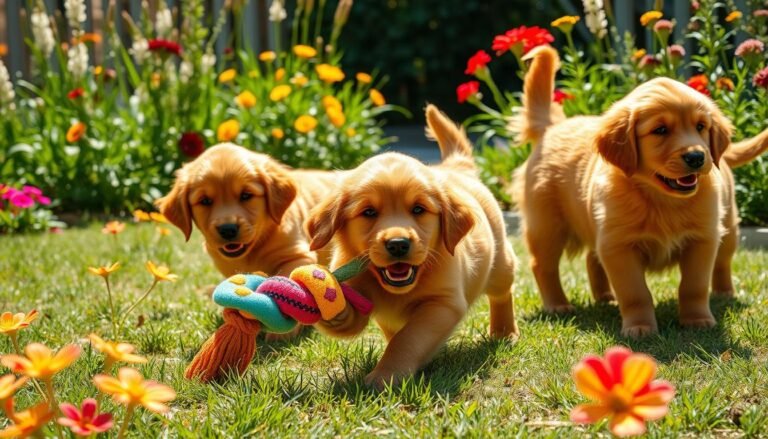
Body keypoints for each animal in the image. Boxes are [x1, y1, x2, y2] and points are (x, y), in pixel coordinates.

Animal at [308, 105, 520, 388]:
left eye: (418, 209)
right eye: (369, 212)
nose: (398, 244)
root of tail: (457, 169)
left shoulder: (443, 303)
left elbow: (408, 338)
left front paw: (386, 374)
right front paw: (334, 306)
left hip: (500, 264)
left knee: (502, 293)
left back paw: (504, 332)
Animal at [510, 47, 768, 336]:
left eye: (701, 126)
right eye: (660, 130)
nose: (697, 157)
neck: (661, 199)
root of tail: (552, 127)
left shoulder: (703, 239)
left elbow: (694, 286)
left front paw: (697, 320)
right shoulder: (619, 246)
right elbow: (635, 292)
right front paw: (640, 326)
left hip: (728, 226)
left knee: (723, 262)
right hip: (547, 226)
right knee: (543, 265)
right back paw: (558, 305)